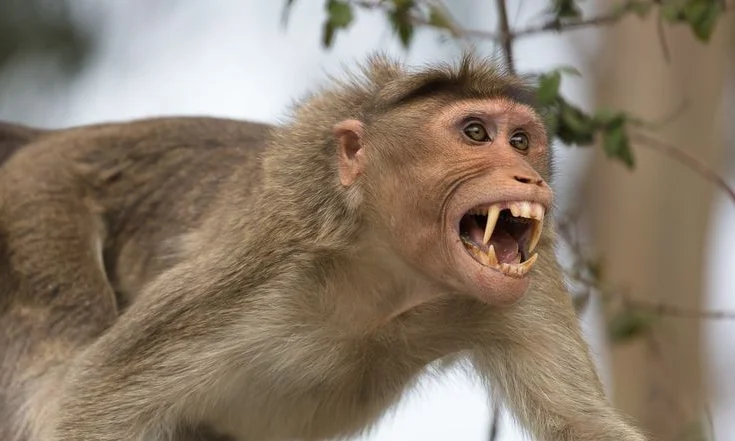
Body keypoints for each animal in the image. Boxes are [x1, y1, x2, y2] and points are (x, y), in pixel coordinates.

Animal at [0, 53, 648, 441]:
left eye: (519, 140)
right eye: (474, 133)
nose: (529, 176)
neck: (388, 274)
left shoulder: (530, 285)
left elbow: (584, 424)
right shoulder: (260, 263)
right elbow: (86, 403)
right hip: (34, 207)